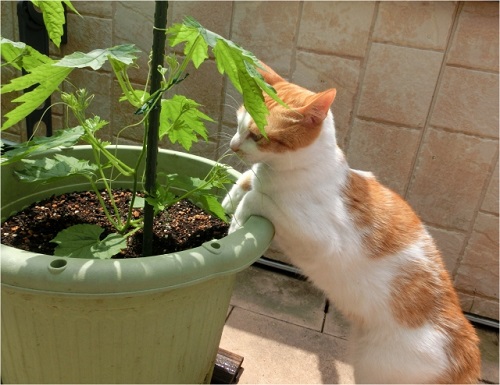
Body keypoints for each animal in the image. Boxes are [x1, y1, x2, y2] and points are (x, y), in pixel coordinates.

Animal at [223, 62, 480, 380]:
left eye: (257, 135)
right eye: (238, 122)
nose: (233, 145)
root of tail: (466, 345)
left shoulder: (317, 237)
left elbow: (258, 199)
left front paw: (236, 220)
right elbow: (247, 179)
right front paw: (229, 198)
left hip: (377, 369)